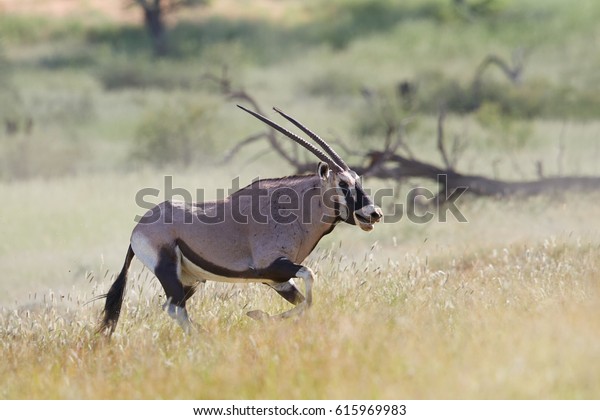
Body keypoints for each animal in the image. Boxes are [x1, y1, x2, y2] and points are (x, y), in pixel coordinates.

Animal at [96, 106, 382, 334]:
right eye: (343, 183)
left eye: (357, 179)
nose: (373, 213)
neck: (294, 209)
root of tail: (138, 229)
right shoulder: (273, 267)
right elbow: (310, 281)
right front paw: (259, 315)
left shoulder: (277, 280)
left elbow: (305, 301)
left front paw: (262, 316)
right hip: (169, 272)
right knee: (175, 308)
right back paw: (203, 338)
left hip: (189, 279)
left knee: (172, 307)